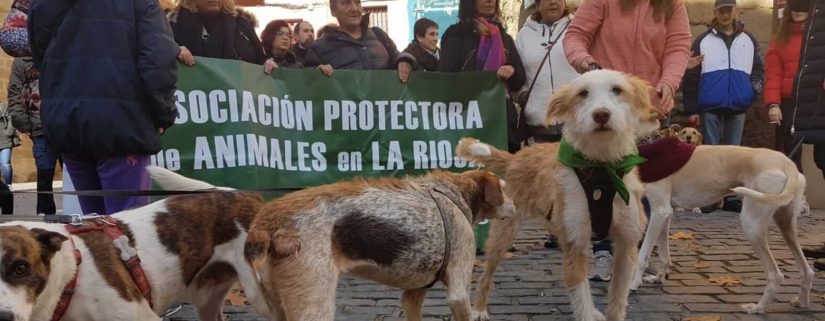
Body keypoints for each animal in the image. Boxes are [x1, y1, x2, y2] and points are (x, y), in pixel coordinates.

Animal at [0, 168, 276, 320]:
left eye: (21, 268)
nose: (4, 317)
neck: (71, 277)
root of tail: (243, 193)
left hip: (260, 295)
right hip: (206, 300)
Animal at [241, 170, 516, 320]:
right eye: (504, 189)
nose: (515, 205)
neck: (456, 195)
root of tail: (269, 217)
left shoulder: (412, 295)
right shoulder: (458, 292)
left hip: (278, 302)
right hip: (314, 302)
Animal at [458, 70, 656, 320]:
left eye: (617, 90)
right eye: (583, 93)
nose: (601, 114)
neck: (601, 167)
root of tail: (516, 157)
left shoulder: (626, 245)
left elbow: (617, 301)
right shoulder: (575, 241)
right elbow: (581, 298)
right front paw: (588, 312)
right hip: (503, 233)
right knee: (486, 274)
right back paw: (480, 309)